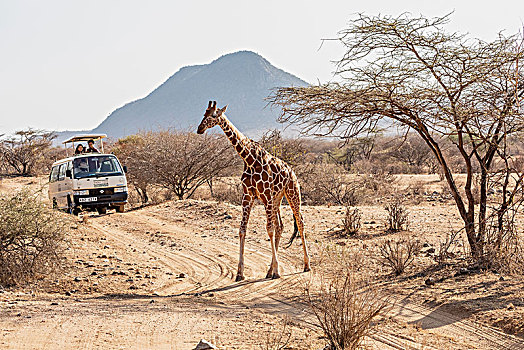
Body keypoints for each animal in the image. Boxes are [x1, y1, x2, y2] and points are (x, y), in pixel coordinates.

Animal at [198, 100, 312, 280]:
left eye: (214, 115)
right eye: (204, 114)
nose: (199, 129)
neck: (249, 159)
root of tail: (291, 171)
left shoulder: (265, 194)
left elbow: (269, 229)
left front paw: (277, 271)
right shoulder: (248, 195)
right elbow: (242, 230)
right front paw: (240, 273)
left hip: (292, 192)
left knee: (300, 222)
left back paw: (306, 265)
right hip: (277, 197)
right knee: (280, 226)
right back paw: (269, 271)